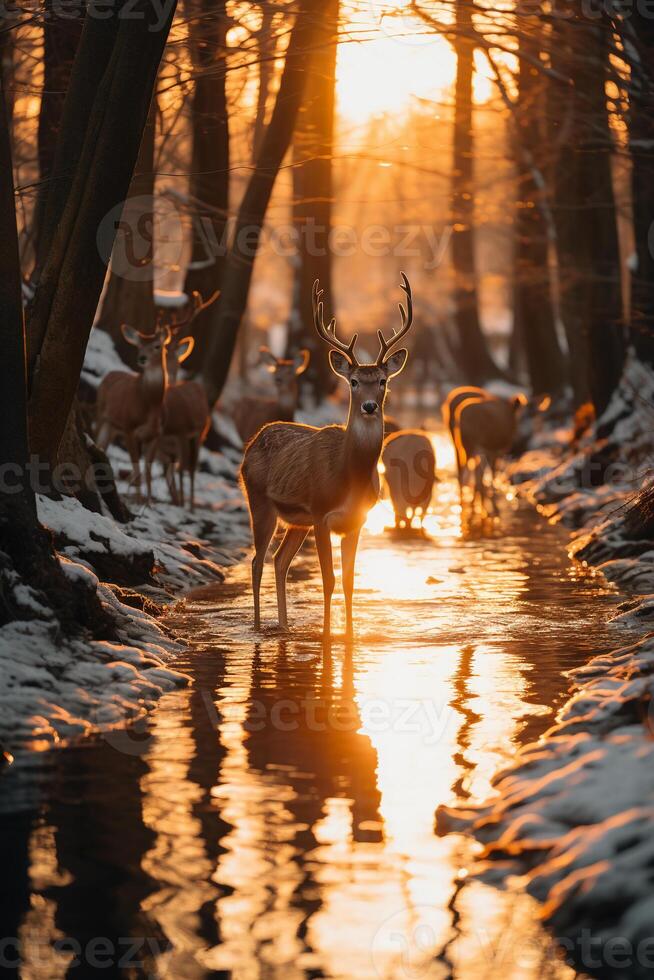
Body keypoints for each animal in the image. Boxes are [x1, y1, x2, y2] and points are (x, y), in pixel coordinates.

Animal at [96, 322, 172, 498]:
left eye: (157, 346)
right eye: (139, 346)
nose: (142, 358)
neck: (152, 406)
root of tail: (109, 374)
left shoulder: (156, 434)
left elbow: (147, 473)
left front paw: (148, 501)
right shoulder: (129, 428)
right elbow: (137, 471)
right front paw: (137, 500)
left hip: (113, 427)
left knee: (103, 446)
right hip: (101, 413)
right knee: (97, 440)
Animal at [241, 274, 416, 644]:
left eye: (383, 381)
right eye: (353, 381)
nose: (370, 406)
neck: (347, 475)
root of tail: (252, 442)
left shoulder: (357, 520)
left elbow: (349, 581)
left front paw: (349, 635)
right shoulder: (321, 513)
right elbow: (329, 580)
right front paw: (326, 636)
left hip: (296, 521)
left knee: (279, 560)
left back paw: (285, 625)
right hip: (259, 501)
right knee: (257, 561)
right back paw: (260, 626)